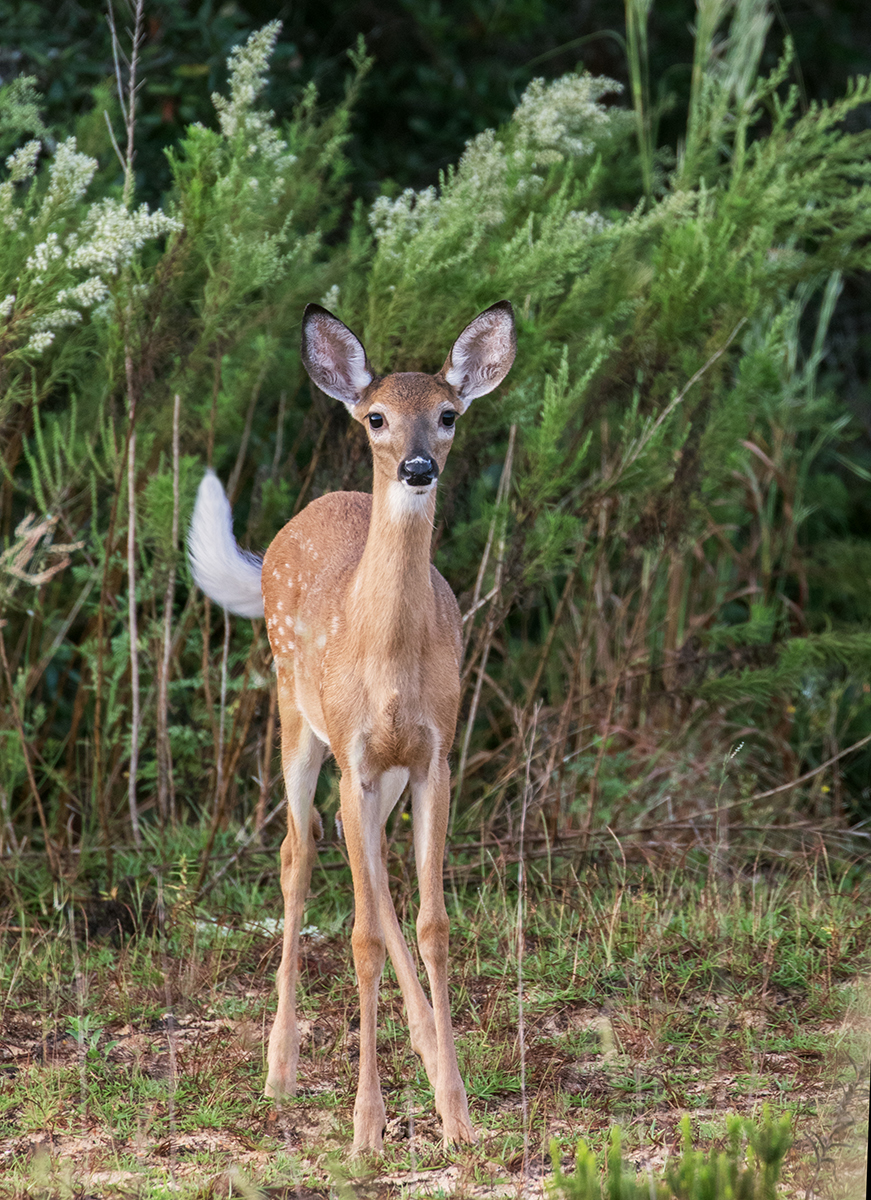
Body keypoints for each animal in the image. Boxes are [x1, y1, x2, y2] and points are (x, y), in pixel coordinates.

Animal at [188, 300, 516, 1154]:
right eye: (375, 417)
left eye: (448, 413)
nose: (417, 467)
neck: (390, 661)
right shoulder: (354, 755)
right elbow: (362, 937)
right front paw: (367, 1128)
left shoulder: (434, 755)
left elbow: (431, 924)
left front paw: (457, 1115)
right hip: (297, 717)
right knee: (297, 853)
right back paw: (279, 1069)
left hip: (376, 774)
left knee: (366, 867)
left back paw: (426, 1052)